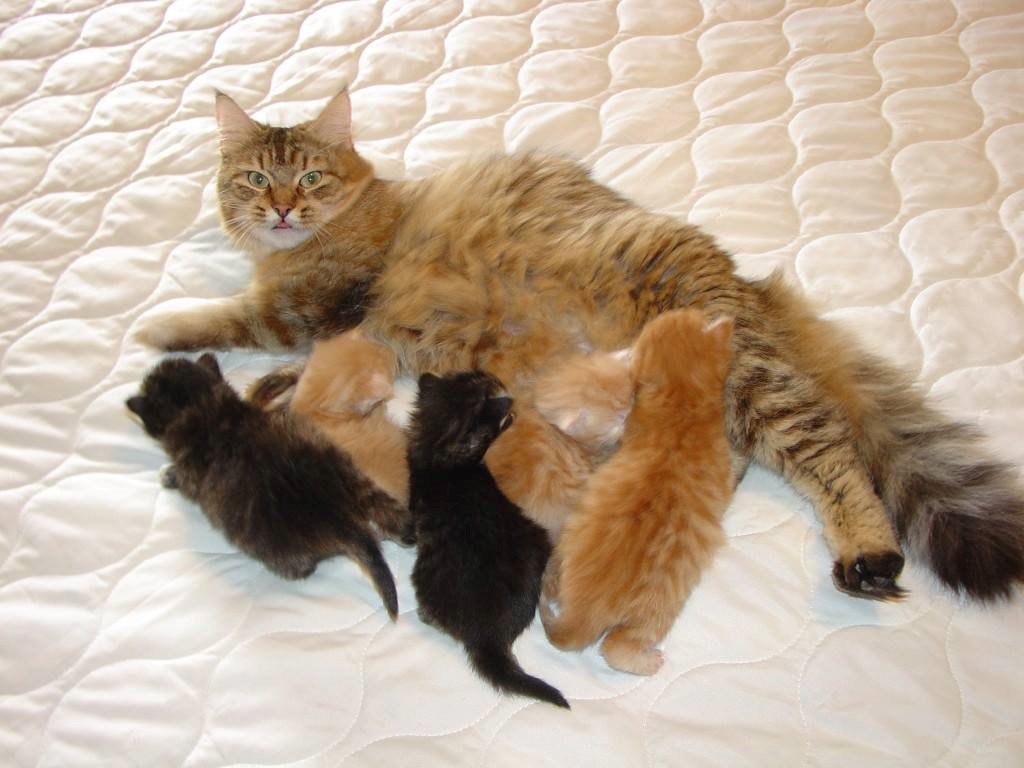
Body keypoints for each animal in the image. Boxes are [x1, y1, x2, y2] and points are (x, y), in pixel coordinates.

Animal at [130, 354, 409, 618]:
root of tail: (347, 520)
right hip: (349, 471)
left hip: (281, 550)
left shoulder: (191, 471)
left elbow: (181, 478)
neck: (212, 410)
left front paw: (167, 475)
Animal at [544, 309, 737, 675]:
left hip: (570, 533)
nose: (692, 309)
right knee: (615, 648)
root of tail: (584, 610)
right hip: (656, 608)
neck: (682, 408)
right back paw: (647, 661)